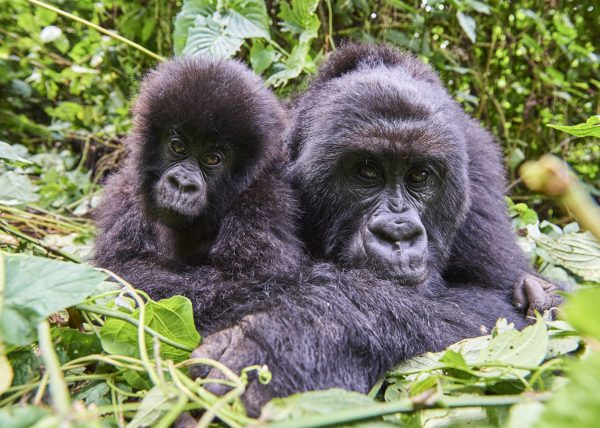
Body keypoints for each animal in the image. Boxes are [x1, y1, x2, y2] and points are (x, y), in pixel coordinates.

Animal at [94, 56, 304, 332]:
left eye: (212, 159)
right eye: (178, 147)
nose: (182, 184)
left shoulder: (264, 200)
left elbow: (247, 284)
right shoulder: (126, 190)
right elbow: (118, 264)